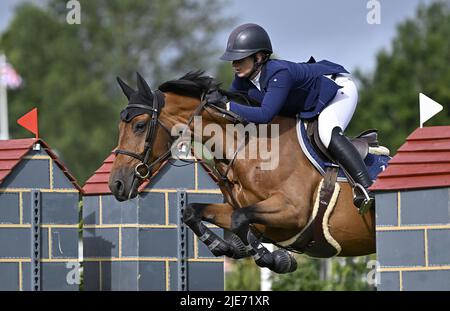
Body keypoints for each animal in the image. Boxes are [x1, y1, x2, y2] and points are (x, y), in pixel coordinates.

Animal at [110, 72, 376, 274]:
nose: (116, 184)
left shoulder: (294, 211)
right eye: (120, 126)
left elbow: (240, 220)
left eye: (139, 125)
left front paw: (271, 259)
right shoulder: (239, 209)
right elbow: (192, 212)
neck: (250, 148)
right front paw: (223, 247)